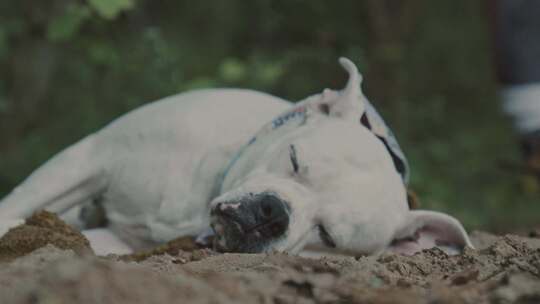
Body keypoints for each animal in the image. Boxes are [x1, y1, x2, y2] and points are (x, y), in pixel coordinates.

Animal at [0, 58, 472, 255]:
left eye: (328, 236)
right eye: (294, 159)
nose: (272, 213)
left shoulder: (118, 242)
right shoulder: (91, 157)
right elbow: (18, 204)